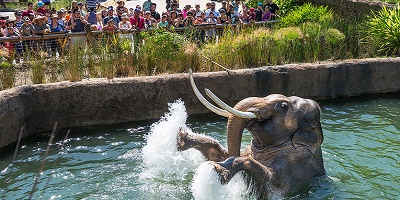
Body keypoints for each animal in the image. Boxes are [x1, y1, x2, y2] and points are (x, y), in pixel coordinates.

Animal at [178, 69, 324, 198]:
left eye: (283, 106)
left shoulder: (296, 166)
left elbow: (268, 185)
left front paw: (218, 170)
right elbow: (219, 154)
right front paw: (181, 138)